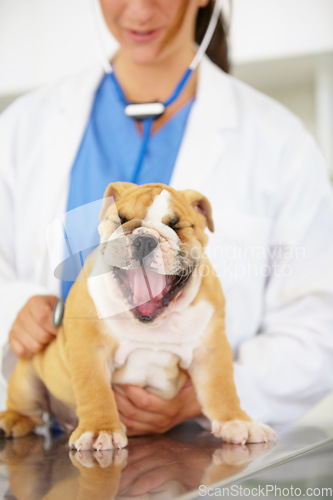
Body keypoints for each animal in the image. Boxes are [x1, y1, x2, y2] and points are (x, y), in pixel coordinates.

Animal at [0, 183, 274, 450]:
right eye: (120, 220)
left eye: (176, 225)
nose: (144, 239)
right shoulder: (89, 350)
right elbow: (95, 390)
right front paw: (100, 429)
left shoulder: (211, 350)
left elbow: (222, 388)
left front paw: (237, 421)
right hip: (26, 378)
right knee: (26, 409)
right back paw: (11, 421)